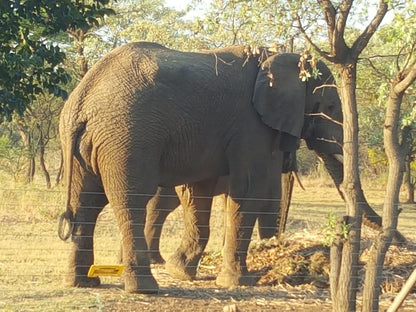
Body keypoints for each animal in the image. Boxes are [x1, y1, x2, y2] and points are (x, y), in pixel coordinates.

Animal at [57, 42, 344, 294]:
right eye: (329, 107)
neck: (280, 55)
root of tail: (83, 96)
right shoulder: (252, 125)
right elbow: (250, 190)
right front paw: (238, 282)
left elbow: (198, 192)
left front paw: (179, 272)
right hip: (129, 135)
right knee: (131, 201)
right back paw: (145, 288)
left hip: (89, 142)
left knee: (86, 203)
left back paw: (83, 283)